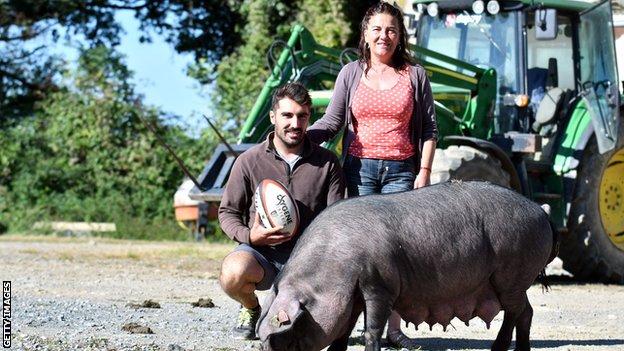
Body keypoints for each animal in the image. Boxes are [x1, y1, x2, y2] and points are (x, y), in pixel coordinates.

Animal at [256, 182, 560, 351]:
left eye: (288, 334)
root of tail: (541, 211)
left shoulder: (379, 285)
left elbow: (372, 330)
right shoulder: (352, 295)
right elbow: (342, 332)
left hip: (513, 275)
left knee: (518, 313)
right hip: (511, 283)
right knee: (523, 313)